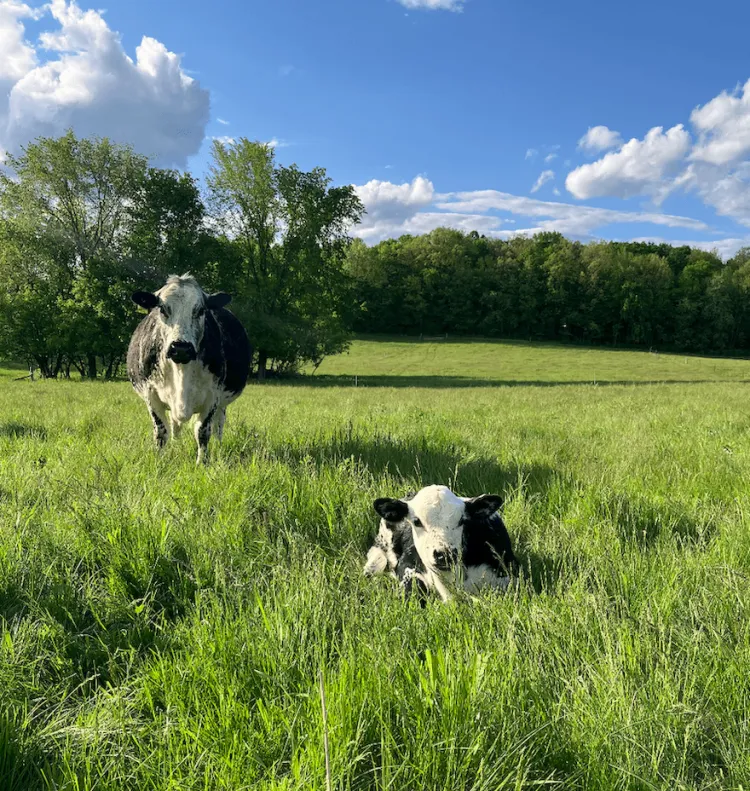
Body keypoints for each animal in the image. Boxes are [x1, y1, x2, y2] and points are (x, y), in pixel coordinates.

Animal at [127, 274, 251, 463]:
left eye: (200, 310)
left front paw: (202, 463)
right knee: (175, 424)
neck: (181, 371)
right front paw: (159, 460)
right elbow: (161, 431)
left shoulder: (213, 396)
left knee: (218, 426)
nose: (180, 348)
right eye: (162, 309)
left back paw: (219, 446)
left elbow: (202, 432)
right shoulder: (151, 393)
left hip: (222, 404)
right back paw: (176, 445)